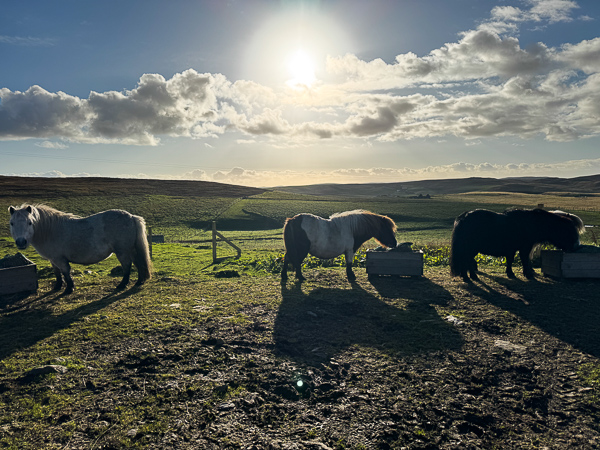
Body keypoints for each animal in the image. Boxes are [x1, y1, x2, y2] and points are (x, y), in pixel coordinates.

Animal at [8, 205, 152, 296]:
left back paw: (122, 284)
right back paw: (139, 281)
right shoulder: (53, 260)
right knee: (138, 263)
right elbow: (57, 273)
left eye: (30, 223)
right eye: (12, 223)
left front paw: (68, 289)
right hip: (130, 250)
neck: (50, 231)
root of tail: (131, 216)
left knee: (127, 266)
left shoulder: (60, 259)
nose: (21, 242)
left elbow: (66, 273)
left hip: (122, 251)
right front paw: (57, 287)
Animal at [450, 208, 584, 282]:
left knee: (466, 261)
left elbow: (510, 260)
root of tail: (463, 217)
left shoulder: (512, 249)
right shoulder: (525, 248)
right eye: (569, 231)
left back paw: (468, 277)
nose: (576, 247)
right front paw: (528, 274)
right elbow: (524, 260)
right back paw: (469, 277)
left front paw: (511, 273)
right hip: (470, 248)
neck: (531, 223)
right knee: (466, 260)